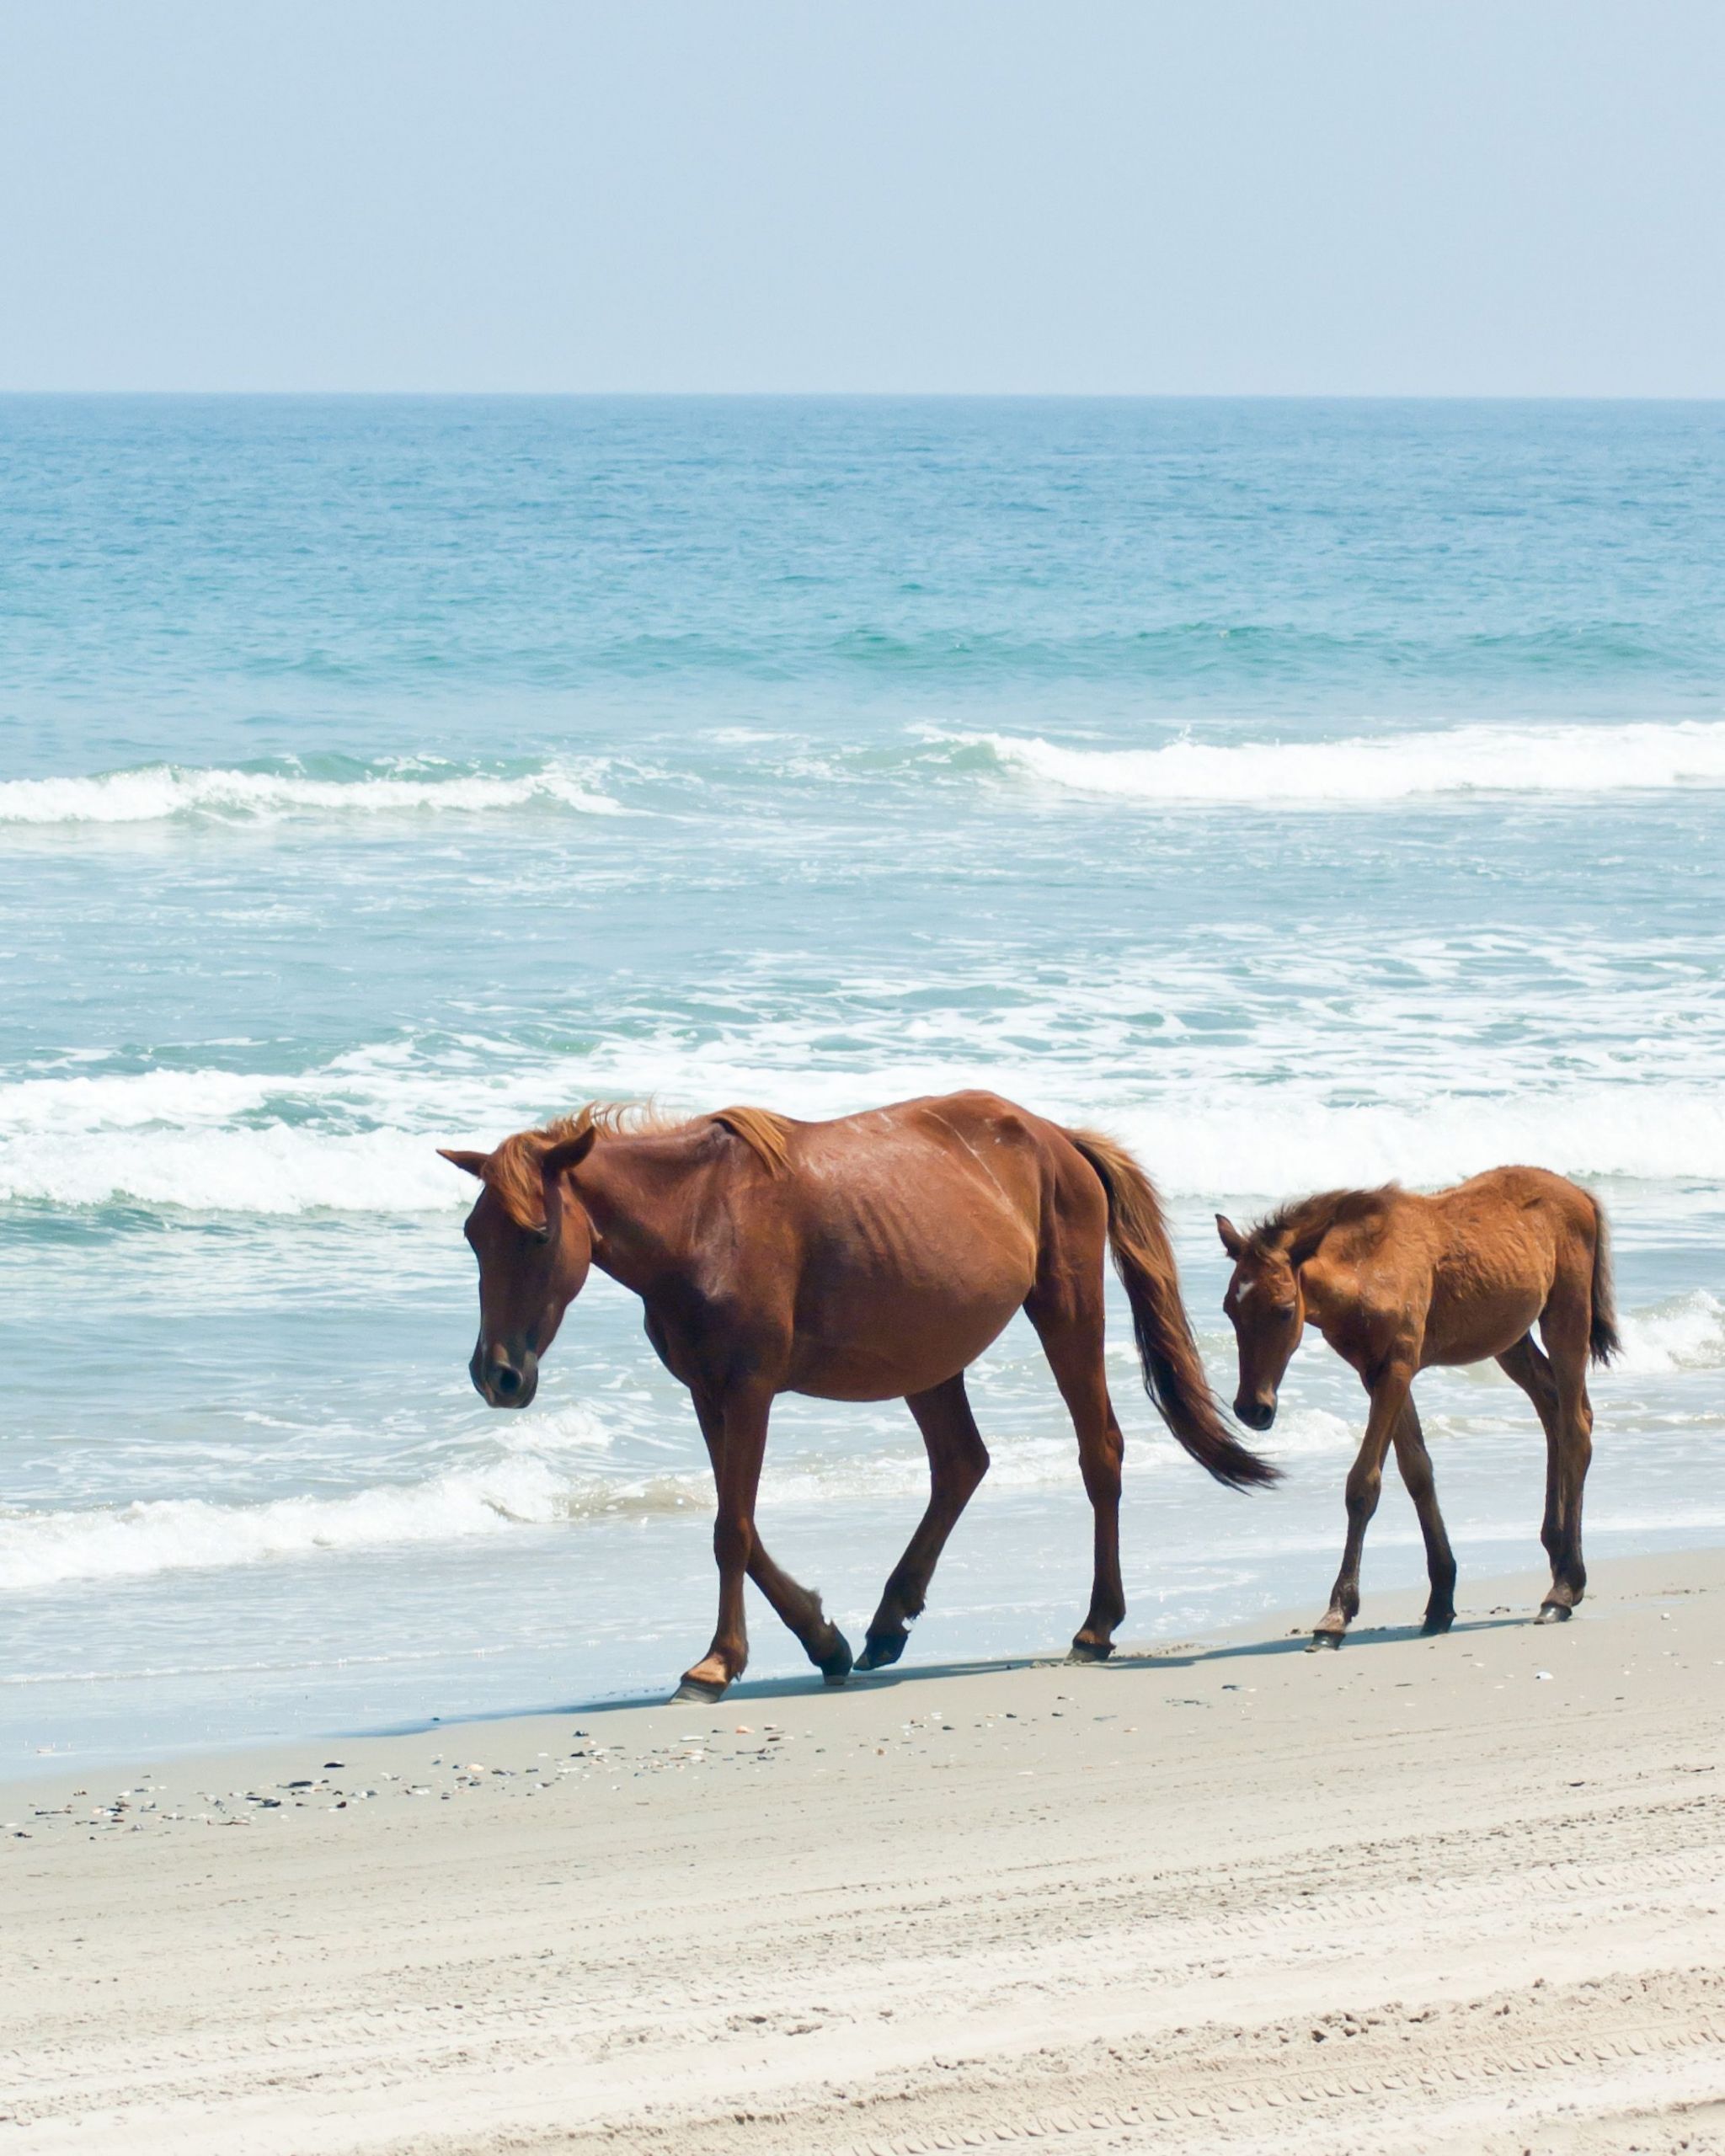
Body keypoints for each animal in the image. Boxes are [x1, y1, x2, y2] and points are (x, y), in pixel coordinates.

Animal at [441, 1095, 1276, 1699]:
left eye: (538, 1234)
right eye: (474, 1237)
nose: (497, 1376)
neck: (700, 1221)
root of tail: (1058, 1138)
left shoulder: (748, 1391)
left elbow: (731, 1531)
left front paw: (715, 1664)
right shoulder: (709, 1394)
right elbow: (741, 1528)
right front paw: (824, 1639)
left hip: (1066, 1311)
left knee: (1098, 1453)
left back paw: (1096, 1627)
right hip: (928, 1357)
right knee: (960, 1465)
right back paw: (886, 1624)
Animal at [1215, 1164, 1621, 1646]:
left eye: (1283, 1309)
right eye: (1229, 1310)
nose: (1252, 1408)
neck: (1367, 1268)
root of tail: (1580, 1193)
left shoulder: (1397, 1366)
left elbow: (1364, 1484)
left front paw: (1336, 1614)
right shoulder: (1377, 1372)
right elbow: (1418, 1473)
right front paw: (1441, 1600)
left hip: (1566, 1316)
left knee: (1576, 1427)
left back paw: (1562, 1589)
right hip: (1509, 1338)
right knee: (1553, 1407)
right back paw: (1559, 1560)